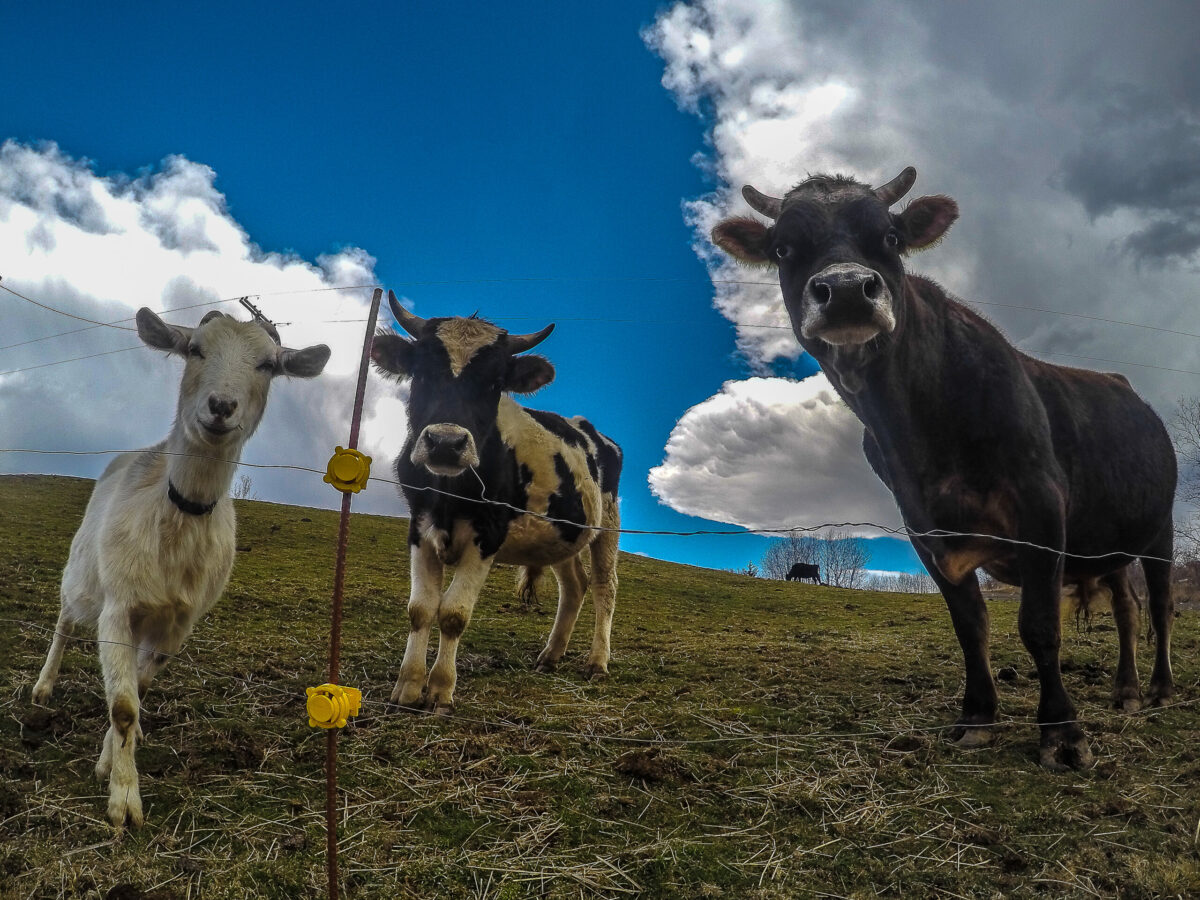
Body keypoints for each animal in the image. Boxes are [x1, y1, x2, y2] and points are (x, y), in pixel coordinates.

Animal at [34, 307, 333, 830]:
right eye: (195, 349)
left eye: (268, 365)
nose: (221, 406)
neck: (178, 514)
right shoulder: (117, 609)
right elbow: (124, 705)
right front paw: (124, 804)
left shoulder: (176, 627)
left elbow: (135, 691)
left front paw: (110, 762)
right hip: (80, 576)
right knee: (64, 624)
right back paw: (42, 688)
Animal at [369, 296, 624, 720]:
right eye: (421, 372)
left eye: (494, 383)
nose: (445, 442)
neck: (450, 492)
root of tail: (590, 429)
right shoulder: (419, 526)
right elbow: (420, 608)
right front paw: (407, 687)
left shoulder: (487, 535)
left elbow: (453, 613)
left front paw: (440, 691)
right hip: (560, 535)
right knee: (575, 586)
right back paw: (550, 656)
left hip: (608, 525)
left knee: (605, 586)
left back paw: (597, 662)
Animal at [705, 168, 1176, 768]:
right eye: (785, 247)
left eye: (889, 237)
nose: (848, 290)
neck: (920, 429)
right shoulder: (924, 528)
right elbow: (969, 625)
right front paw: (977, 718)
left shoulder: (1042, 508)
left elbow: (1040, 626)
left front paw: (1062, 732)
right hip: (1109, 541)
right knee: (1127, 608)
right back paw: (1126, 691)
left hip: (1159, 529)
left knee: (1159, 605)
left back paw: (1159, 689)